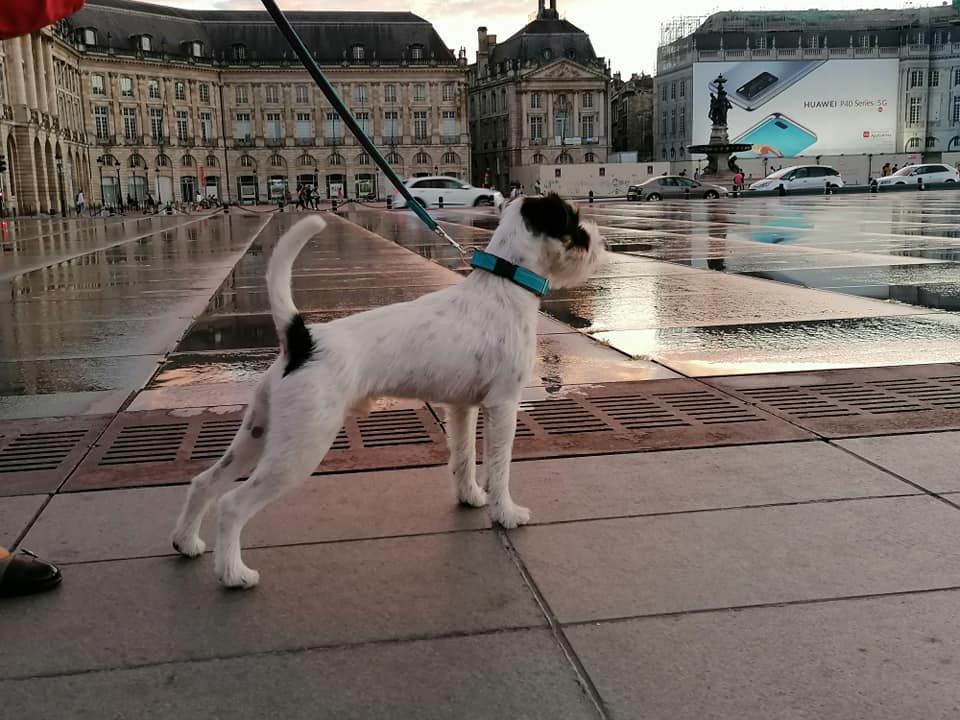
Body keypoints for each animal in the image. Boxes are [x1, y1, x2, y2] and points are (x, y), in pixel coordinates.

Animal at [170, 194, 604, 588]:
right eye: (574, 222)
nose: (599, 241)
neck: (504, 286)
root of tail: (302, 339)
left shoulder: (461, 409)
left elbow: (463, 456)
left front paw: (470, 497)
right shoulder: (503, 407)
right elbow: (499, 467)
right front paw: (506, 513)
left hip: (257, 433)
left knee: (204, 482)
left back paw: (187, 542)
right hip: (299, 448)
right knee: (231, 505)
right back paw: (234, 574)